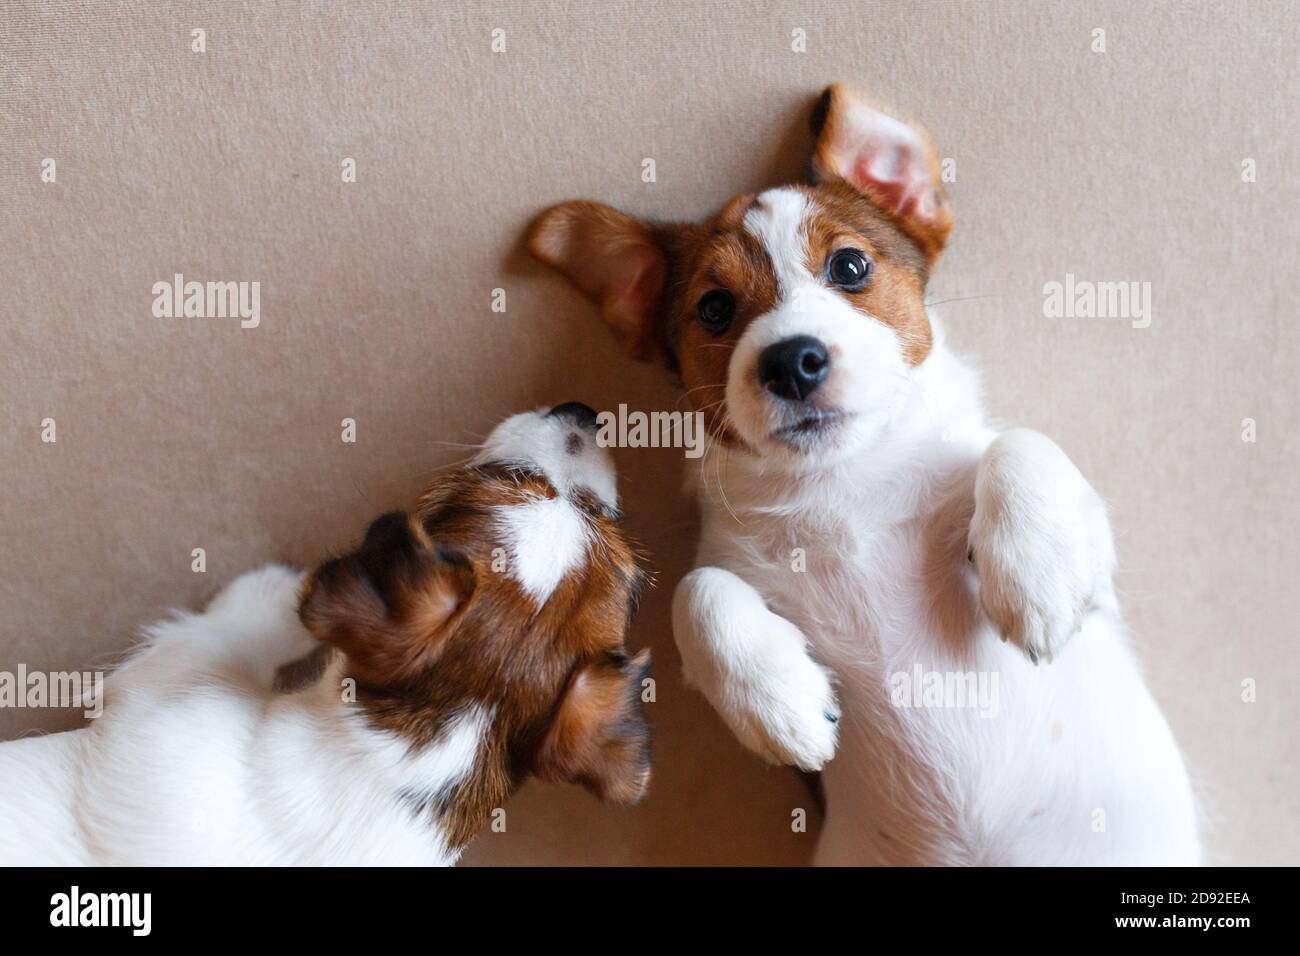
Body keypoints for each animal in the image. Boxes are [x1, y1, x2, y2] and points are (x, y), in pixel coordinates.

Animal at [0, 403, 650, 868]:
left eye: (506, 476)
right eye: (632, 577)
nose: (585, 411)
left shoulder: (168, 681)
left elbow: (229, 632)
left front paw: (271, 586)